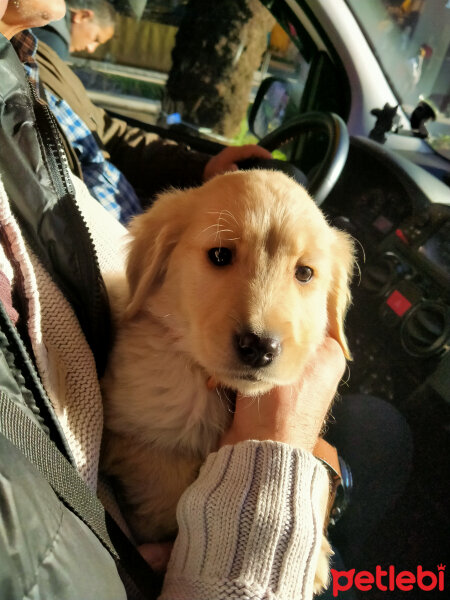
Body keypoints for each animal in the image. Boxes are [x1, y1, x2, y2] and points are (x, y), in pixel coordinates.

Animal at [102, 169, 356, 592]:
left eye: (304, 273)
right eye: (220, 256)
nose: (260, 347)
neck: (221, 389)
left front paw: (317, 553)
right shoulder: (132, 431)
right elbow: (167, 481)